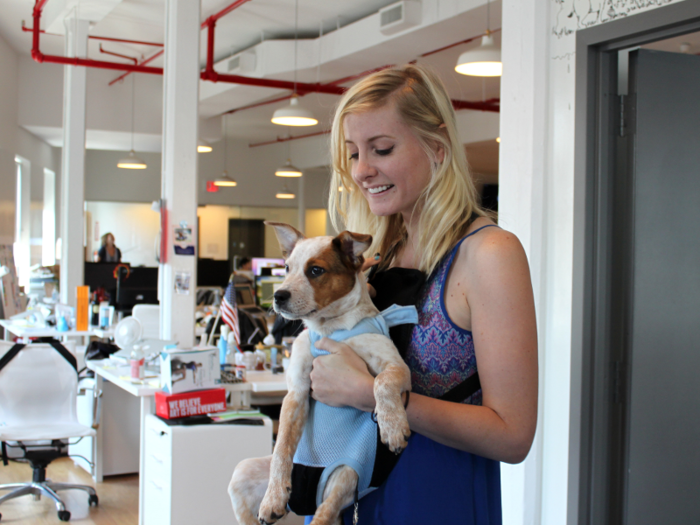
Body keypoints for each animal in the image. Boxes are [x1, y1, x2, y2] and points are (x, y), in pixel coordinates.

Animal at [230, 222, 416, 524]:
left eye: (316, 270)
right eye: (286, 268)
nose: (278, 296)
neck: (332, 328)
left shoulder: (396, 366)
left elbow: (382, 382)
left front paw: (393, 426)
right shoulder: (296, 393)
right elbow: (282, 448)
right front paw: (274, 497)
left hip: (347, 475)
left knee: (324, 513)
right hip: (242, 475)